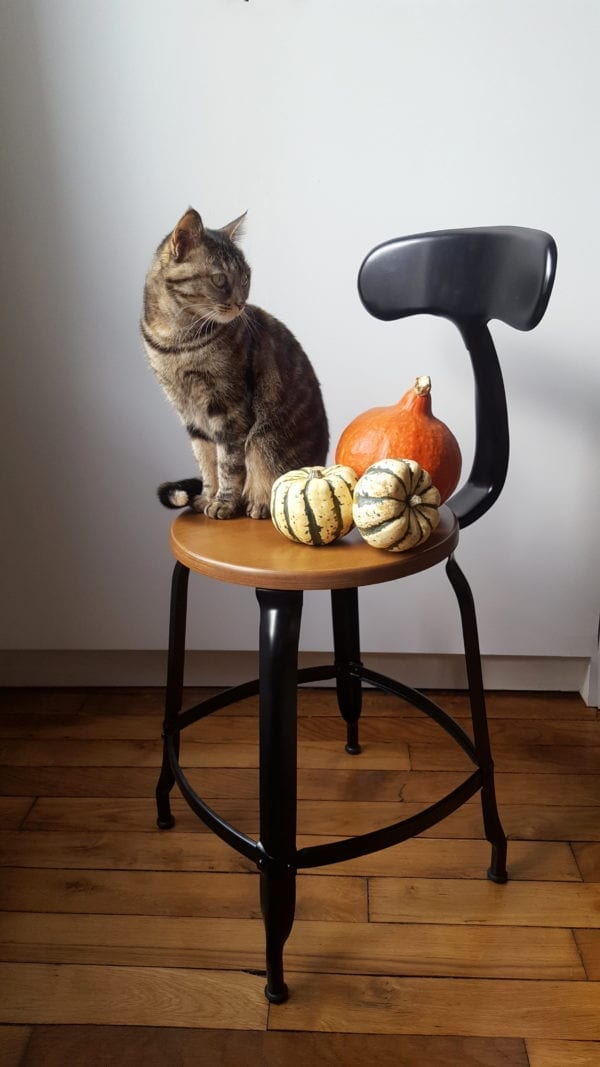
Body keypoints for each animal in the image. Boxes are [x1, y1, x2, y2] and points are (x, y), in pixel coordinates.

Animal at [139, 206, 326, 516]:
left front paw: (224, 503)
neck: (177, 342)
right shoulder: (189, 414)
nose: (241, 302)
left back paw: (257, 503)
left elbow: (228, 463)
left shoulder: (229, 410)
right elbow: (207, 462)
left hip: (265, 441)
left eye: (246, 278)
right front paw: (208, 497)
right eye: (220, 279)